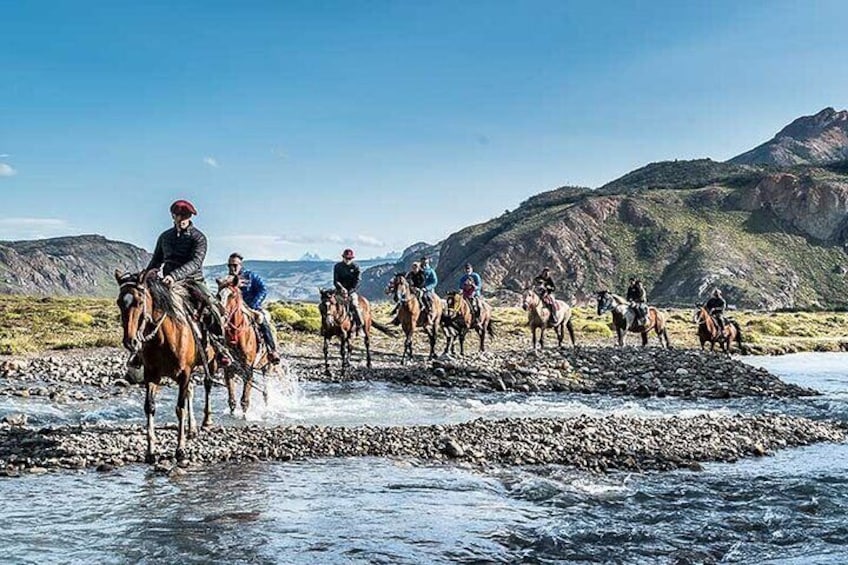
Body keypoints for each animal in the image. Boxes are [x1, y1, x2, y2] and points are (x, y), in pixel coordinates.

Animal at [114, 270, 217, 462]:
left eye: (139, 301)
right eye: (119, 302)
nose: (130, 341)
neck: (164, 338)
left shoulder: (184, 374)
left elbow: (180, 408)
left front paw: (180, 449)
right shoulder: (152, 375)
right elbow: (150, 407)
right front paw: (150, 451)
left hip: (211, 362)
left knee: (207, 384)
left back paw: (207, 421)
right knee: (191, 390)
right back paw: (192, 428)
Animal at [215, 276, 272, 416]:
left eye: (232, 295)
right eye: (218, 295)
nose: (221, 316)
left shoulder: (248, 370)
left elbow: (245, 401)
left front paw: (245, 417)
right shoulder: (229, 369)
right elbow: (232, 401)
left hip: (267, 367)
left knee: (265, 392)